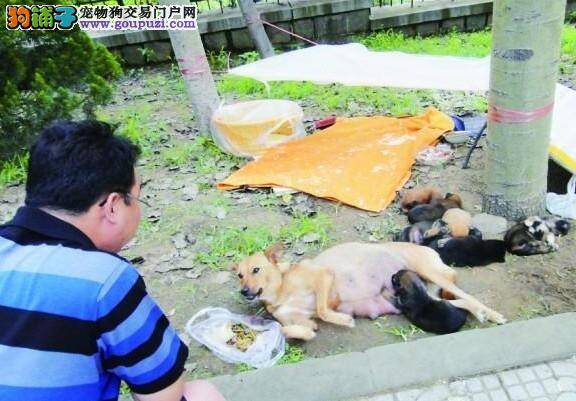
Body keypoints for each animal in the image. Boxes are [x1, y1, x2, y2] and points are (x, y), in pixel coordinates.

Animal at [233, 241, 504, 340]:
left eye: (256, 269)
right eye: (239, 275)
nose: (244, 292)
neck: (281, 290)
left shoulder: (323, 277)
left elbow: (323, 309)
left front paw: (344, 319)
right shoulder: (301, 321)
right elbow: (293, 328)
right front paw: (292, 332)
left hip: (431, 273)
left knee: (469, 296)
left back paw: (492, 314)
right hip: (428, 297)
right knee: (461, 303)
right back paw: (481, 314)